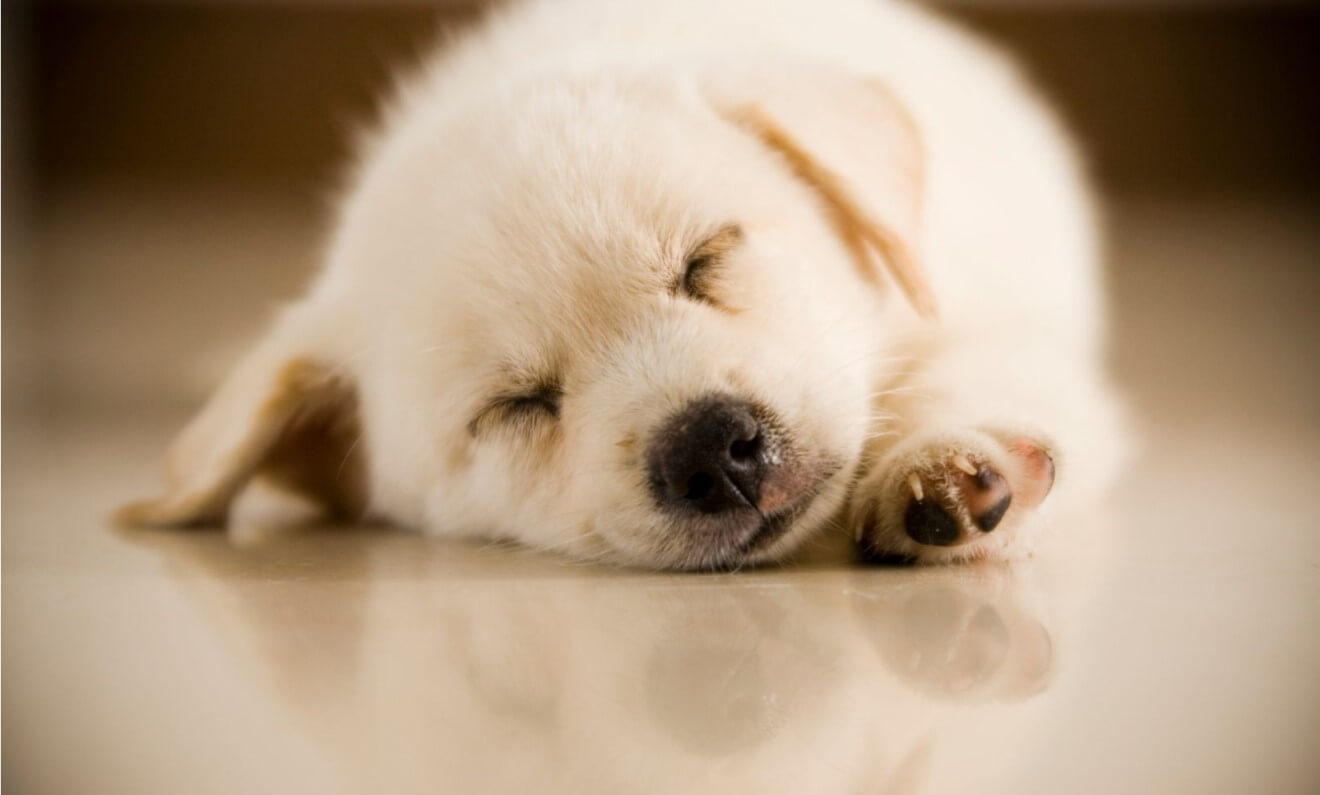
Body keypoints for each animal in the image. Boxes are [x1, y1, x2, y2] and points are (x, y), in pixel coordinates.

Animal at [118, 0, 1124, 570]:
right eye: (515, 405)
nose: (714, 448)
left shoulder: (996, 308)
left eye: (707, 259)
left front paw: (949, 463)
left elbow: (973, 368)